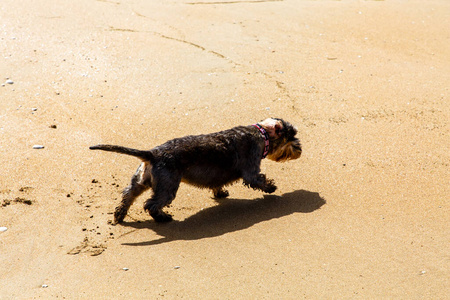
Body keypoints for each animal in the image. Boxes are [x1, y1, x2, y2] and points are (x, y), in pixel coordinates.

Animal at [89, 117, 300, 223]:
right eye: (291, 136)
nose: (300, 148)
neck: (261, 134)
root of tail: (153, 154)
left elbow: (217, 184)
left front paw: (220, 193)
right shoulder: (251, 170)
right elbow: (260, 180)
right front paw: (271, 188)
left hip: (141, 181)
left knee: (128, 194)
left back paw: (119, 215)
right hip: (168, 186)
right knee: (151, 204)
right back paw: (163, 218)